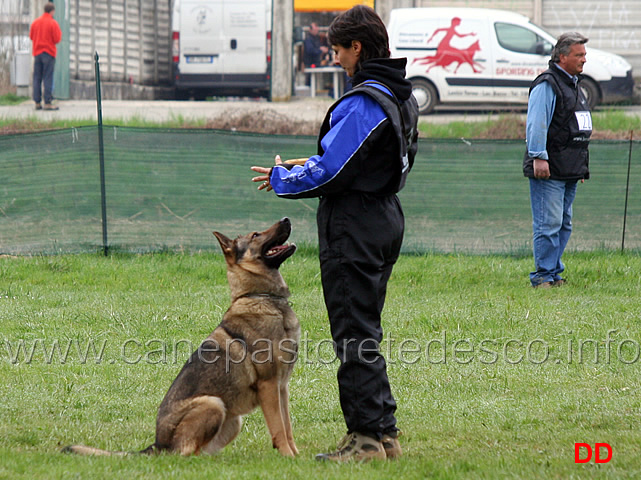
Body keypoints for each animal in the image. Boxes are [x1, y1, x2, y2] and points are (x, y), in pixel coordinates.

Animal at [63, 218, 298, 458]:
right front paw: (288, 457)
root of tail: (158, 444)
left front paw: (296, 457)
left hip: (233, 421)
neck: (262, 297)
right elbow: (279, 429)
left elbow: (287, 427)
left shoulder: (281, 388)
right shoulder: (269, 386)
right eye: (255, 235)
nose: (286, 219)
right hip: (212, 403)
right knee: (185, 454)